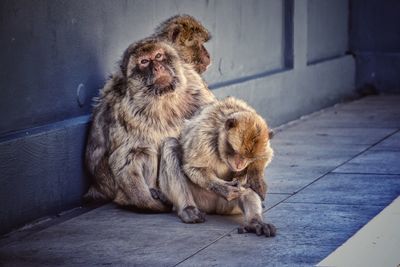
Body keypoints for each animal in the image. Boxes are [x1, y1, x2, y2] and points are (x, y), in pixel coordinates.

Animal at [84, 38, 216, 213]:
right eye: (144, 62)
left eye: (158, 56)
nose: (157, 67)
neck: (164, 100)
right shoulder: (125, 110)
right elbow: (124, 158)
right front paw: (148, 202)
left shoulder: (196, 86)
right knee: (145, 149)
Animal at [158, 97, 276, 238]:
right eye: (236, 152)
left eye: (249, 158)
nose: (240, 165)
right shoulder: (203, 134)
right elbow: (193, 167)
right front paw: (225, 189)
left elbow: (265, 156)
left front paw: (256, 177)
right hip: (202, 200)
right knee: (170, 144)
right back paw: (188, 209)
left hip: (229, 207)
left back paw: (254, 221)